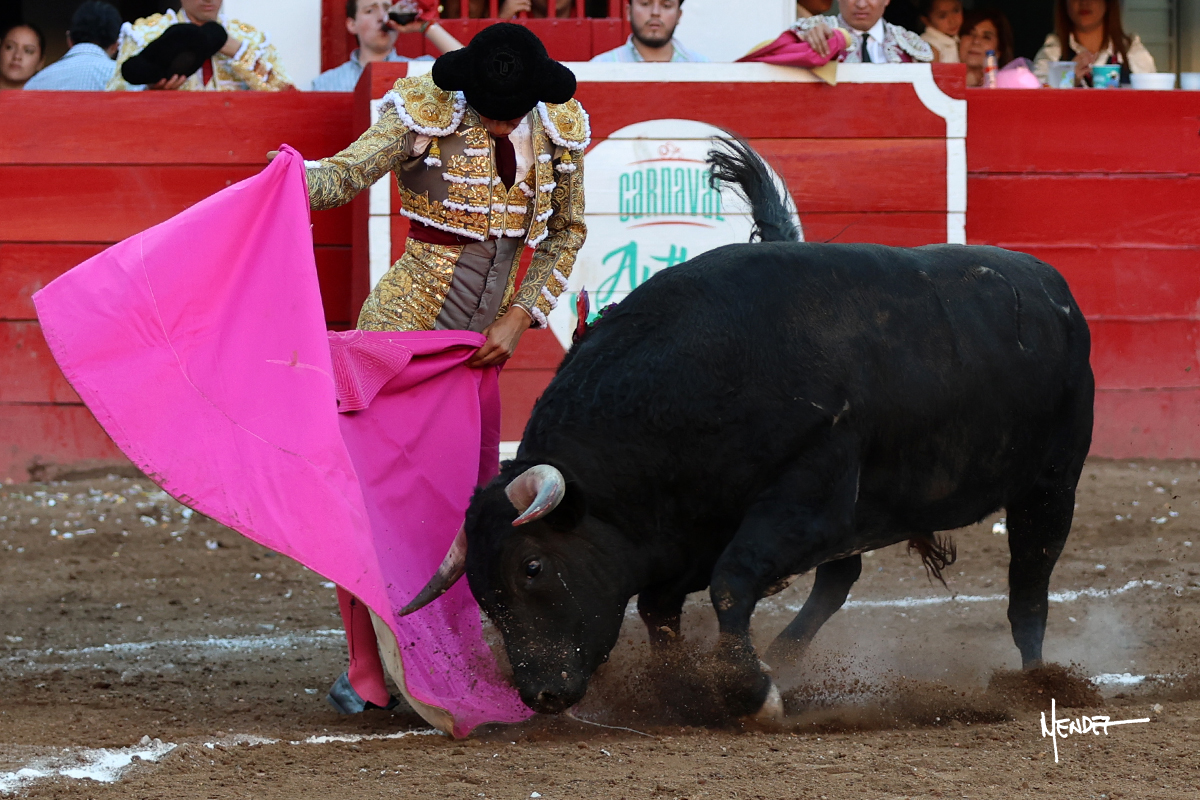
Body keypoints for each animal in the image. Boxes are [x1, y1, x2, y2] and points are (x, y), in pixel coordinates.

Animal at [401, 138, 1094, 722]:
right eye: (480, 592)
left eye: (533, 566)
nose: (540, 693)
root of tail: (1052, 287)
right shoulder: (690, 535)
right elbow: (659, 609)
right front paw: (688, 689)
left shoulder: (806, 505)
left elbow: (732, 585)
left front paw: (751, 694)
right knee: (840, 581)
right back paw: (786, 657)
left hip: (1051, 486)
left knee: (1029, 587)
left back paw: (1037, 684)